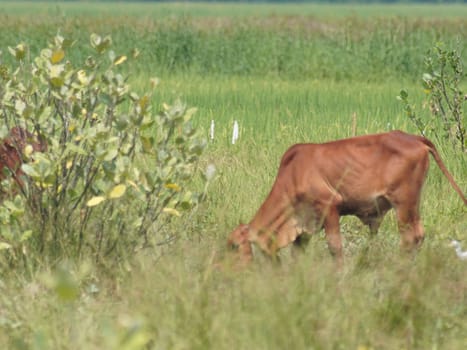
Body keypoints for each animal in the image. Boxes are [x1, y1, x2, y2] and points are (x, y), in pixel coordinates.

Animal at [229, 131, 466, 266]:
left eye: (232, 246)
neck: (292, 175)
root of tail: (414, 137)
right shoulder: (306, 224)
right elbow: (298, 254)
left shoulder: (330, 206)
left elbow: (335, 247)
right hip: (412, 205)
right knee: (418, 235)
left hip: (404, 203)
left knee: (410, 237)